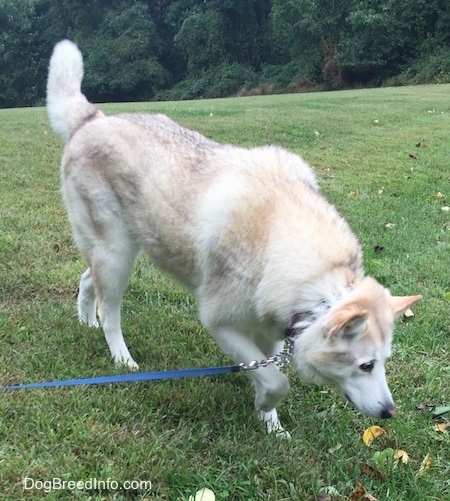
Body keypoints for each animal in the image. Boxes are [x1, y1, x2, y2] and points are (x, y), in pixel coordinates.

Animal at [46, 41, 422, 436]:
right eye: (366, 365)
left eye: (384, 361)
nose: (390, 412)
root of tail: (93, 118)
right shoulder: (220, 323)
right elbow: (276, 381)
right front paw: (266, 404)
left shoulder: (272, 328)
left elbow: (268, 371)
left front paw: (271, 425)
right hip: (116, 254)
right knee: (110, 312)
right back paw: (122, 359)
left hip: (115, 252)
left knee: (88, 280)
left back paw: (87, 322)